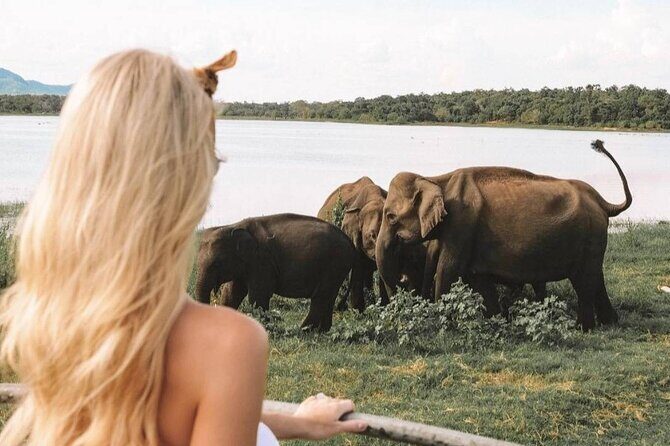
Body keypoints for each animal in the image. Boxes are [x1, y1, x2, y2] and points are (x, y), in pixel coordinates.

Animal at [196, 213, 355, 331]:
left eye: (217, 264)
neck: (233, 226)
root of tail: (350, 242)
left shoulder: (262, 261)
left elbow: (258, 295)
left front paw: (264, 327)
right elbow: (231, 293)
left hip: (334, 264)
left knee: (320, 297)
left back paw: (304, 330)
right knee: (328, 297)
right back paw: (322, 331)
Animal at [376, 140, 632, 330]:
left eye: (390, 216)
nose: (403, 283)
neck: (436, 179)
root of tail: (602, 202)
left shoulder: (462, 224)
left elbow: (448, 270)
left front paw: (442, 320)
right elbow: (478, 277)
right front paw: (496, 320)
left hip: (588, 236)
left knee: (583, 283)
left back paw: (582, 328)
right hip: (593, 240)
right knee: (596, 278)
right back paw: (610, 322)